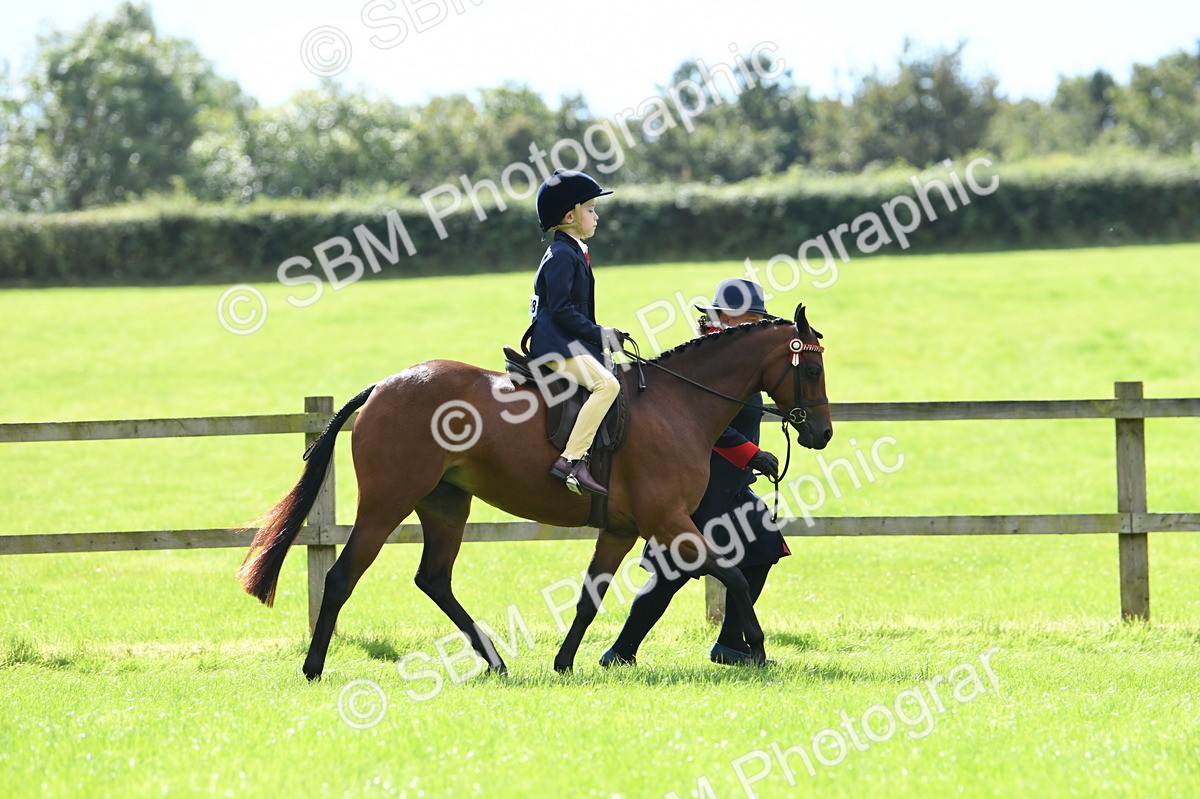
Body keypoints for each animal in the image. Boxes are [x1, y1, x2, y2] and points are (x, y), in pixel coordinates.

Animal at [238, 303, 832, 680]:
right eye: (812, 368)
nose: (822, 433)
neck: (675, 404)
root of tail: (385, 384)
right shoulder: (670, 524)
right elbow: (733, 574)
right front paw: (757, 648)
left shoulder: (622, 529)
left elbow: (592, 597)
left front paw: (565, 662)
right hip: (388, 503)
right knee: (341, 577)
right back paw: (314, 667)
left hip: (445, 504)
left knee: (433, 579)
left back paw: (495, 660)